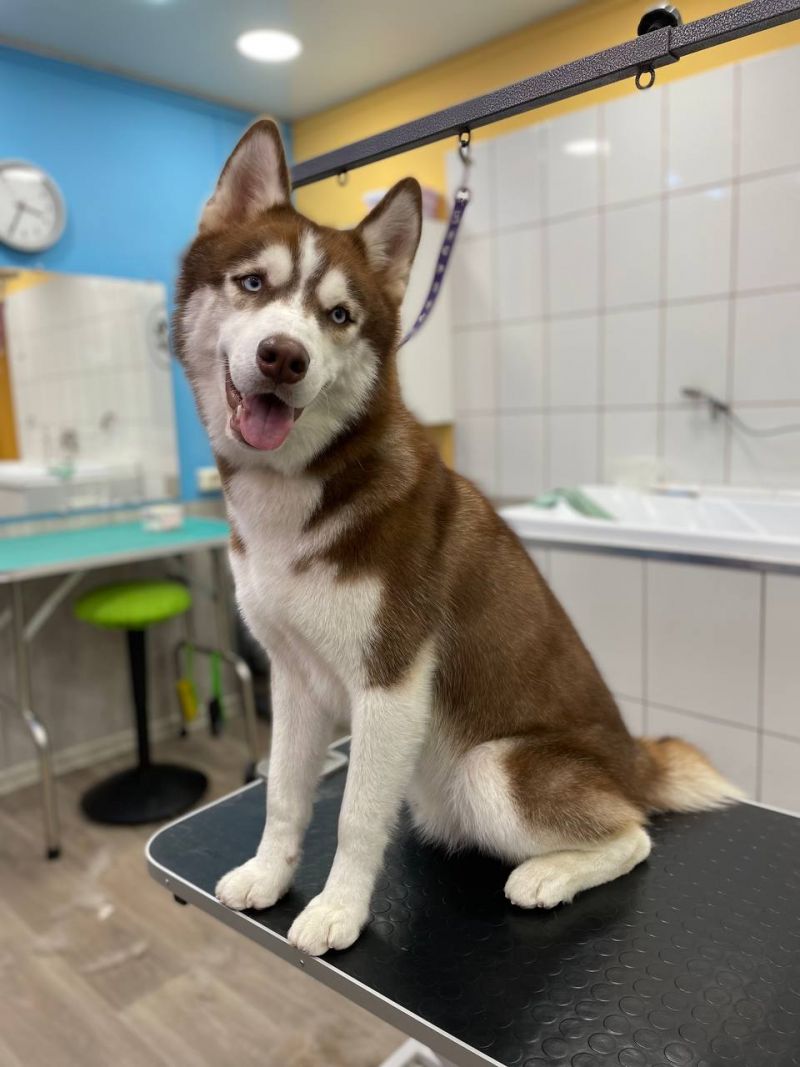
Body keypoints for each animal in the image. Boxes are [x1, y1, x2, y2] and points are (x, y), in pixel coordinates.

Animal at [175, 119, 742, 957]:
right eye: (252, 284)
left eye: (338, 315)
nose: (284, 355)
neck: (297, 487)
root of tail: (633, 759)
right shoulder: (294, 676)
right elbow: (283, 793)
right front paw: (269, 872)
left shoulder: (391, 683)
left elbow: (353, 816)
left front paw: (339, 910)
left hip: (490, 769)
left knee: (635, 835)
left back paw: (549, 873)